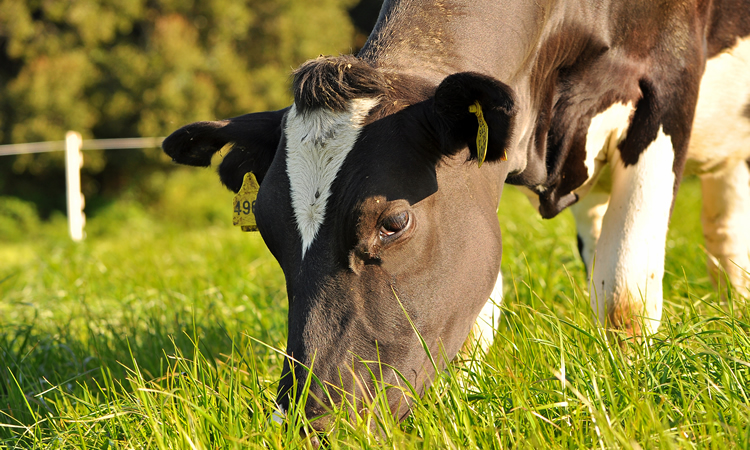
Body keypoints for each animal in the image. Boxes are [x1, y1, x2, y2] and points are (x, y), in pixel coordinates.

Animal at [163, 0, 750, 428]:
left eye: (394, 222)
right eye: (267, 231)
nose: (308, 419)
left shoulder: (667, 89)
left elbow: (625, 294)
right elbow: (477, 320)